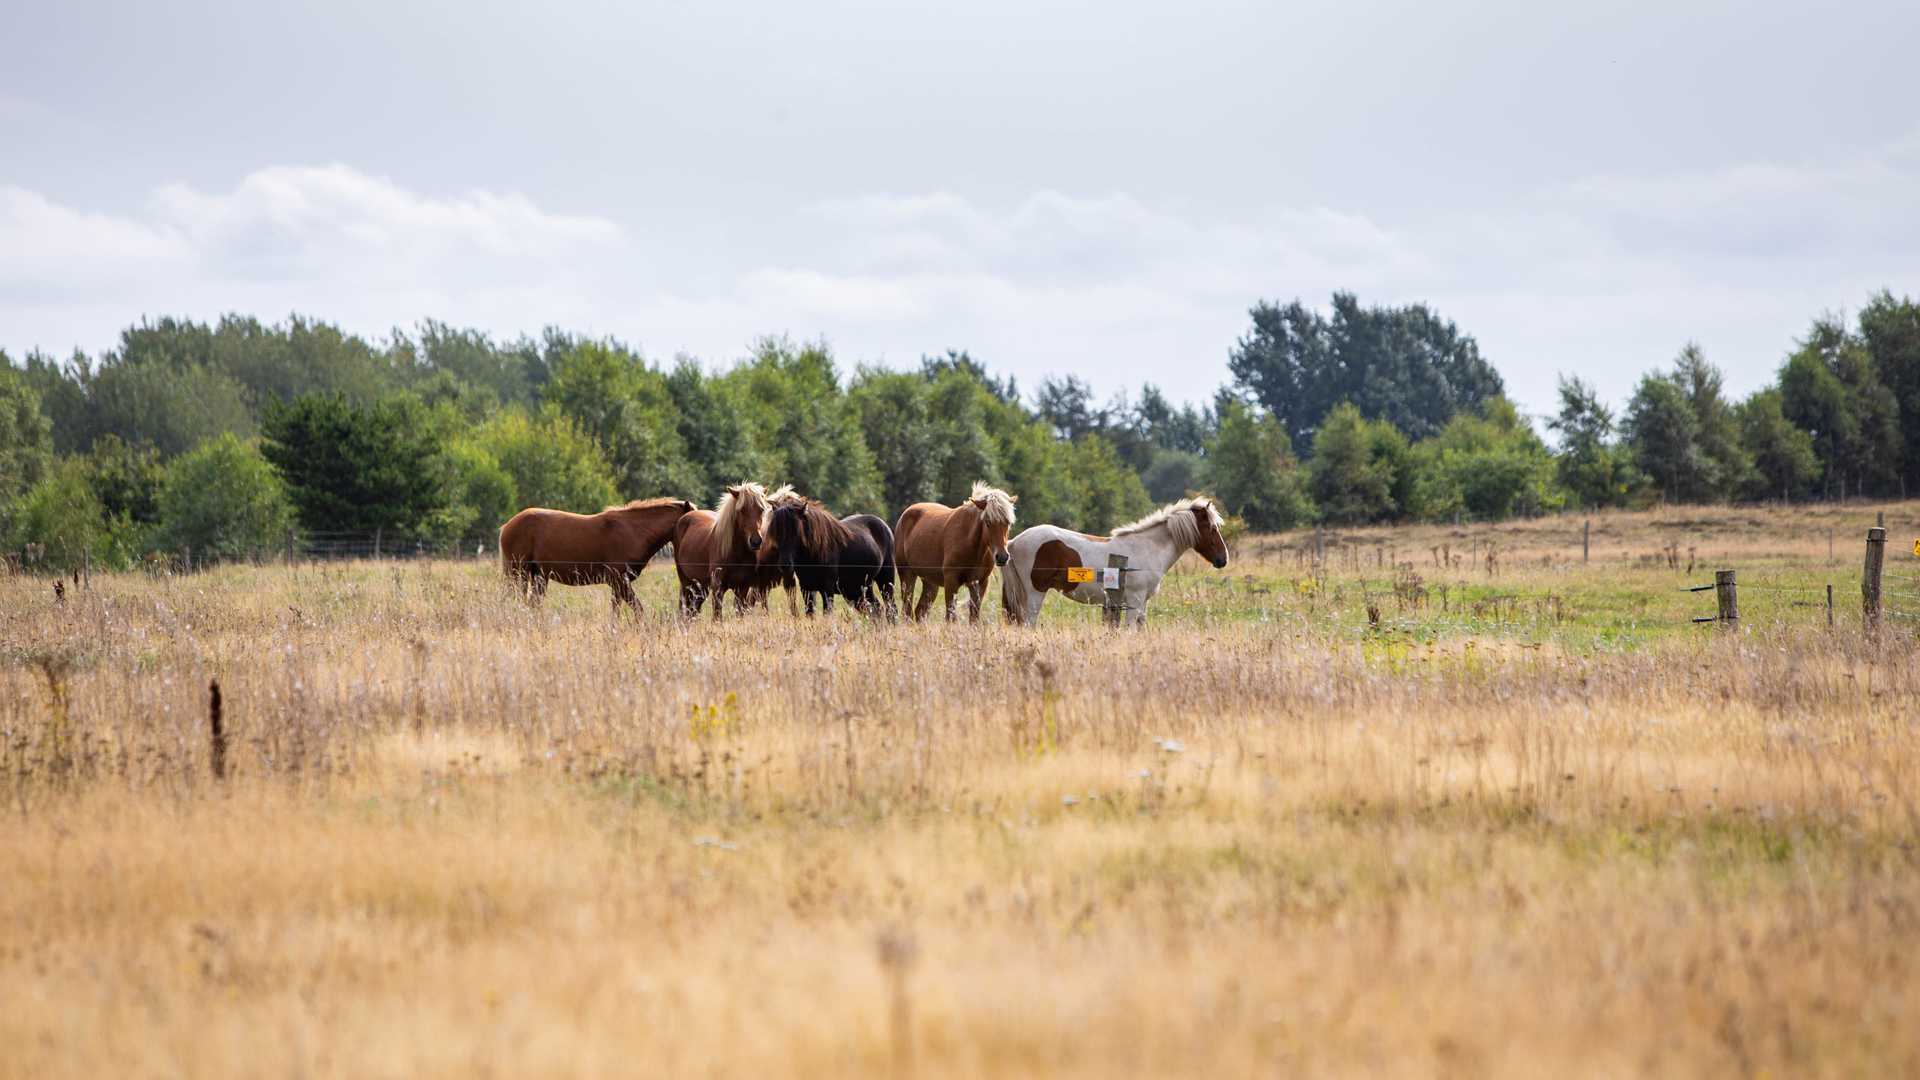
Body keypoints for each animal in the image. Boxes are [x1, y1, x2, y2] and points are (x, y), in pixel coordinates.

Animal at [499, 495, 702, 614]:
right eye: (690, 519)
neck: (633, 530)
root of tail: (507, 526)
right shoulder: (620, 582)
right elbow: (638, 610)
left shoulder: (617, 585)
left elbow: (616, 612)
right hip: (519, 573)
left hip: (538, 576)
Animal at [668, 480, 771, 618]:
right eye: (741, 510)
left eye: (761, 509)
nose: (756, 541)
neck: (736, 554)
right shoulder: (718, 588)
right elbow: (717, 617)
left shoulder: (742, 588)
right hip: (686, 582)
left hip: (701, 587)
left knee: (693, 609)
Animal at [764, 495, 898, 614]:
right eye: (775, 531)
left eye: (796, 530)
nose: (785, 564)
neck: (813, 553)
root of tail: (885, 526)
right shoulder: (806, 588)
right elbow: (810, 613)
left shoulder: (827, 589)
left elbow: (827, 612)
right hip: (860, 587)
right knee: (875, 609)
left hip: (885, 579)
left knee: (891, 608)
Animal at [894, 480, 1021, 622]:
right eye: (988, 522)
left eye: (1008, 523)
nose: (1002, 557)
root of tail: (905, 514)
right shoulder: (951, 582)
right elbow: (951, 617)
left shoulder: (980, 583)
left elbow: (974, 618)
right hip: (907, 575)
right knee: (907, 611)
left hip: (930, 583)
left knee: (920, 612)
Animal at [1006, 495, 1228, 622]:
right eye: (1211, 528)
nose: (1223, 559)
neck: (1149, 548)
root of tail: (1013, 542)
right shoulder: (1134, 601)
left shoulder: (1141, 603)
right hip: (1035, 593)